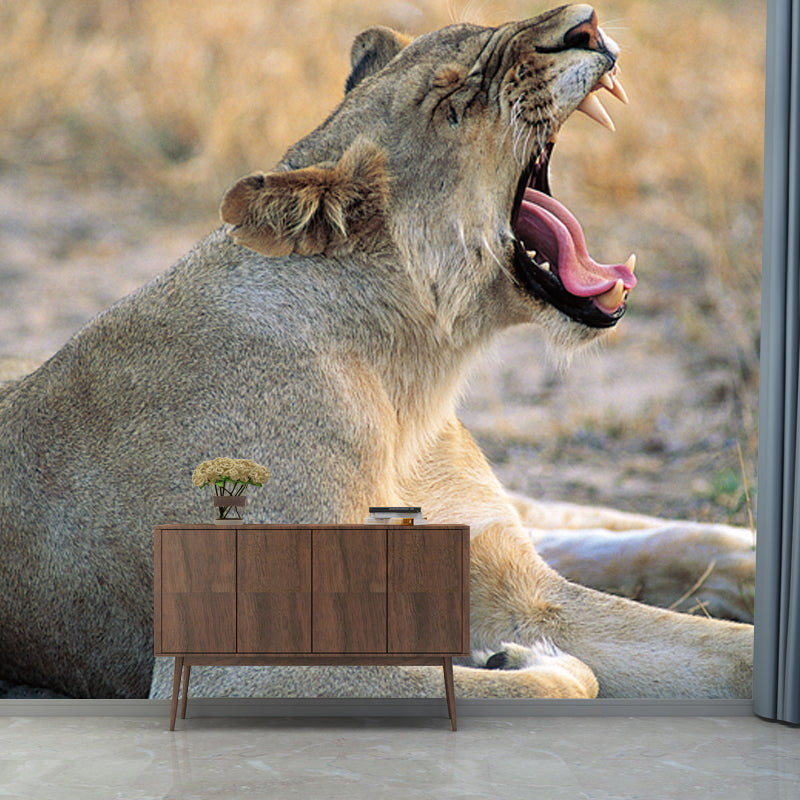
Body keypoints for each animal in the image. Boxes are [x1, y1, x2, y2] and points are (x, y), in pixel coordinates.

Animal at [0, 4, 753, 702]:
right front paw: (523, 660)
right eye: (456, 102)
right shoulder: (237, 668)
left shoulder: (514, 584)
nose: (586, 23)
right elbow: (560, 679)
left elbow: (730, 653)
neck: (412, 377)